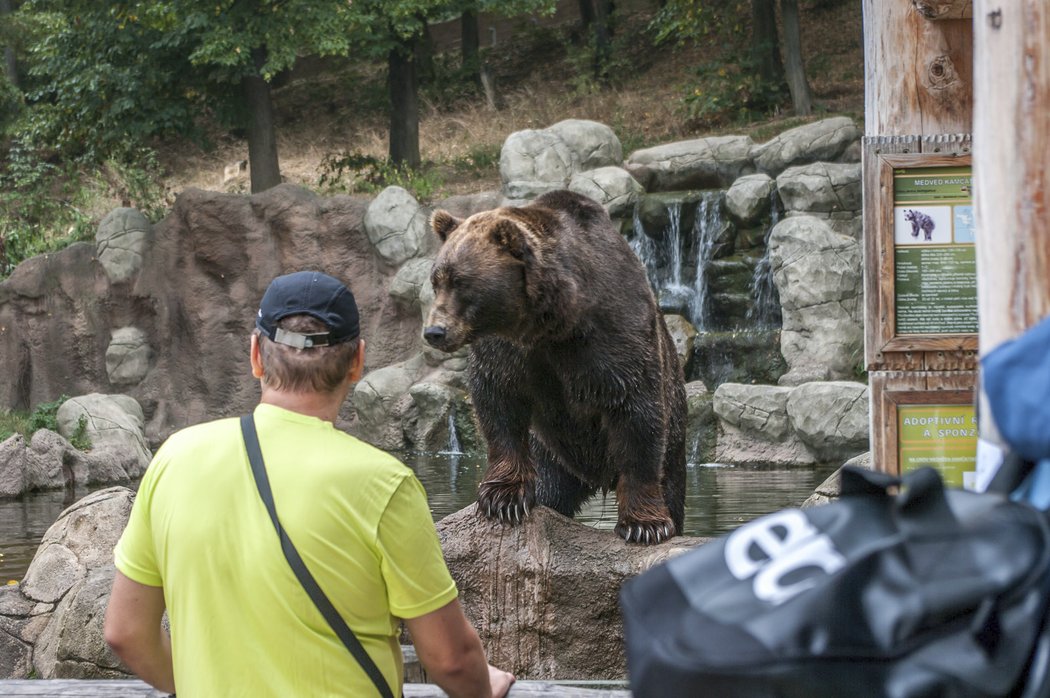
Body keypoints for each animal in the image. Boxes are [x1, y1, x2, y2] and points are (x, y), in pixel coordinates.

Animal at [422, 188, 684, 545]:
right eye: (437, 281)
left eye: (461, 282)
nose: (434, 331)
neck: (554, 323)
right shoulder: (508, 352)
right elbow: (499, 406)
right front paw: (504, 499)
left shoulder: (614, 334)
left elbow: (636, 415)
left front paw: (646, 525)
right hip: (551, 453)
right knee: (552, 488)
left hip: (676, 435)